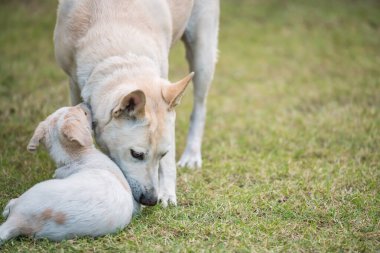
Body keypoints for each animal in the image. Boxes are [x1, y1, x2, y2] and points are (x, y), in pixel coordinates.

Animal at [53, 0, 220, 206]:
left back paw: (192, 155)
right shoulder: (74, 83)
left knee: (200, 106)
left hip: (202, 51)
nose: (151, 200)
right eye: (137, 155)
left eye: (162, 154)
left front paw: (167, 192)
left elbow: (168, 161)